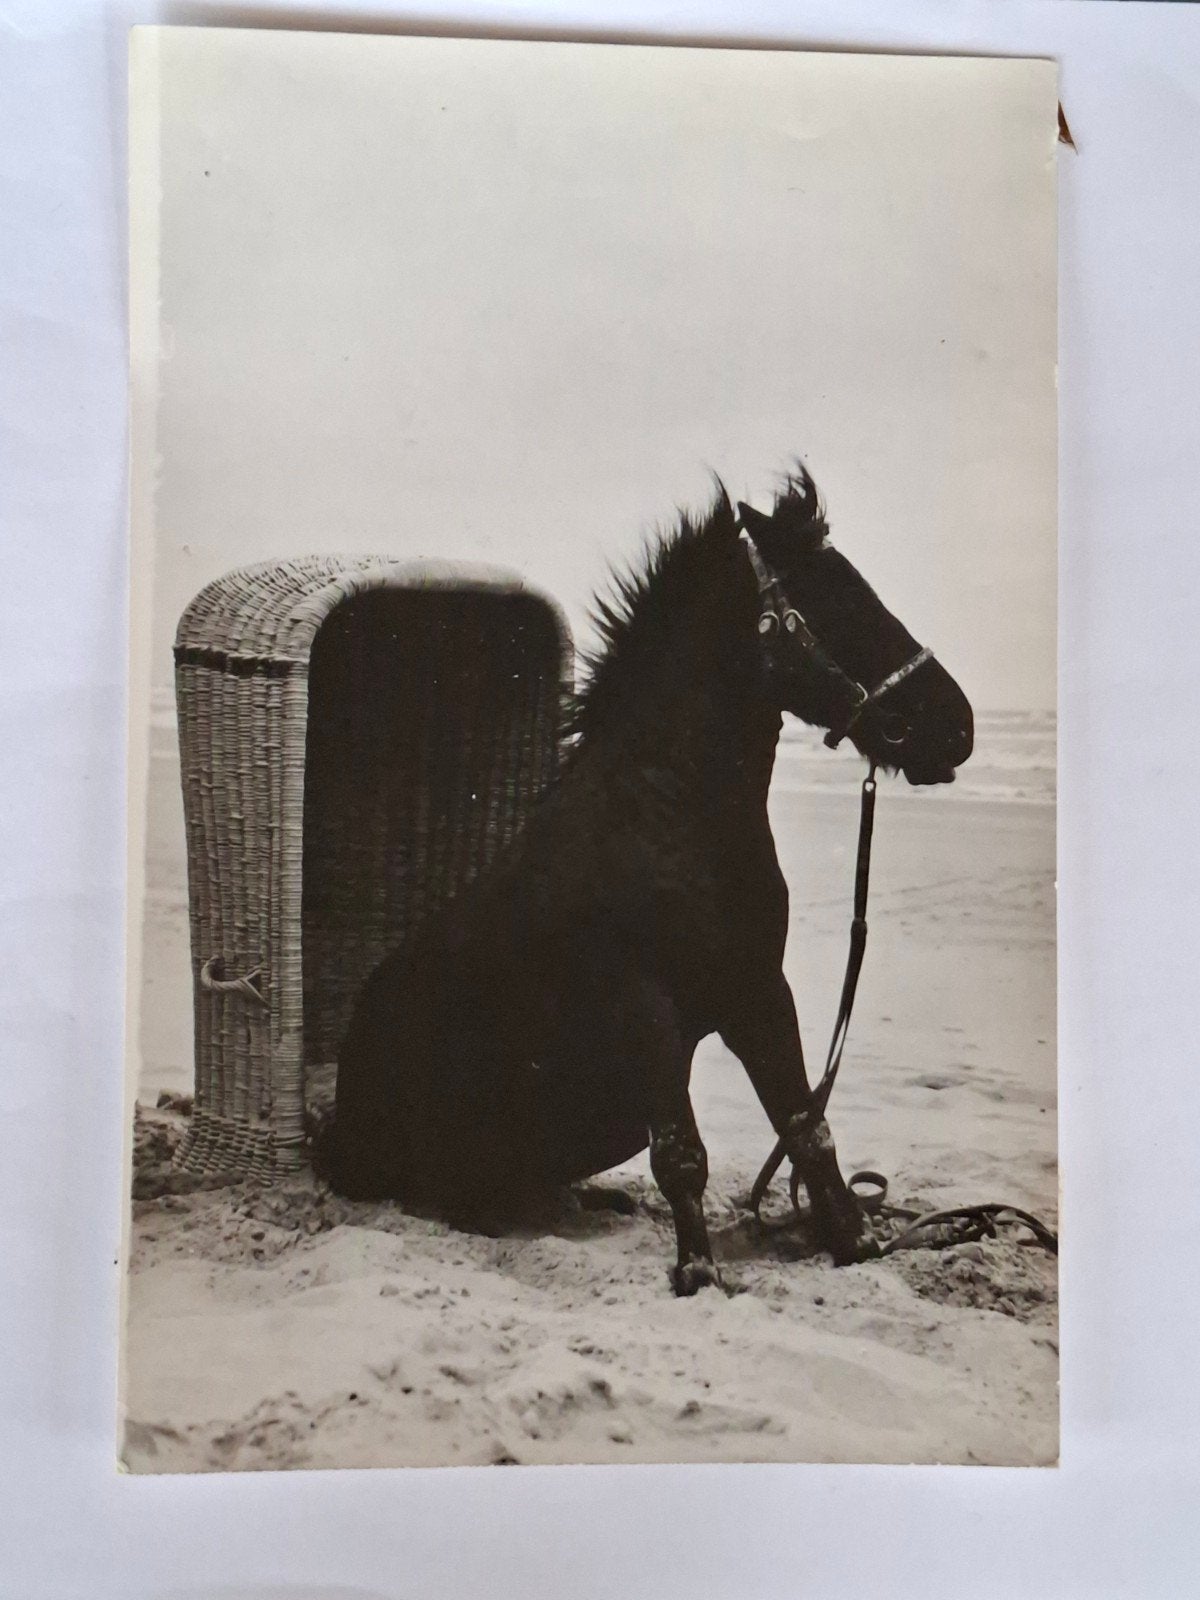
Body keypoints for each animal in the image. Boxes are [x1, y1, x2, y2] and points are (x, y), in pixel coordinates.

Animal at [330, 464, 974, 1294]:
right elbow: (682, 1155)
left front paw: (856, 1243)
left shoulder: (759, 990)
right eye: (840, 602)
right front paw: (699, 1274)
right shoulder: (644, 1004)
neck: (671, 815)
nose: (956, 727)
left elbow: (807, 1127)